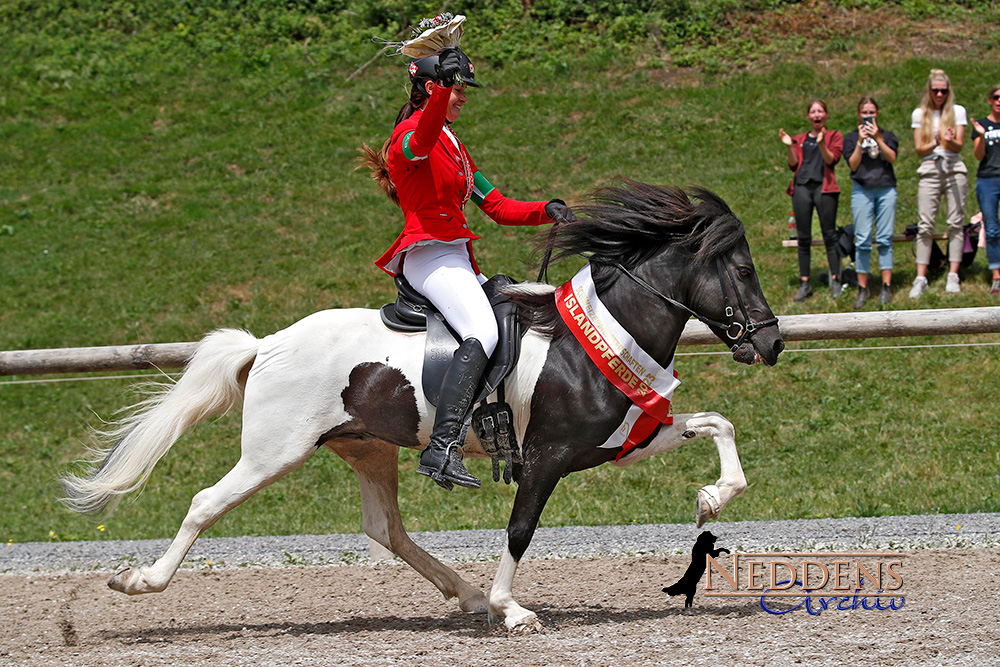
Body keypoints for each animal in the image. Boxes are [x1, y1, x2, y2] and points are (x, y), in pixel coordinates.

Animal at [60, 181, 780, 632]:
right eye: (743, 271)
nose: (771, 342)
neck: (598, 334)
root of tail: (266, 344)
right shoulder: (547, 455)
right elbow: (520, 529)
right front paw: (512, 608)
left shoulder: (618, 440)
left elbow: (718, 423)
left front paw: (713, 498)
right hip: (273, 451)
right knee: (207, 502)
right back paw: (139, 582)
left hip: (368, 447)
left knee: (386, 530)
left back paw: (464, 593)